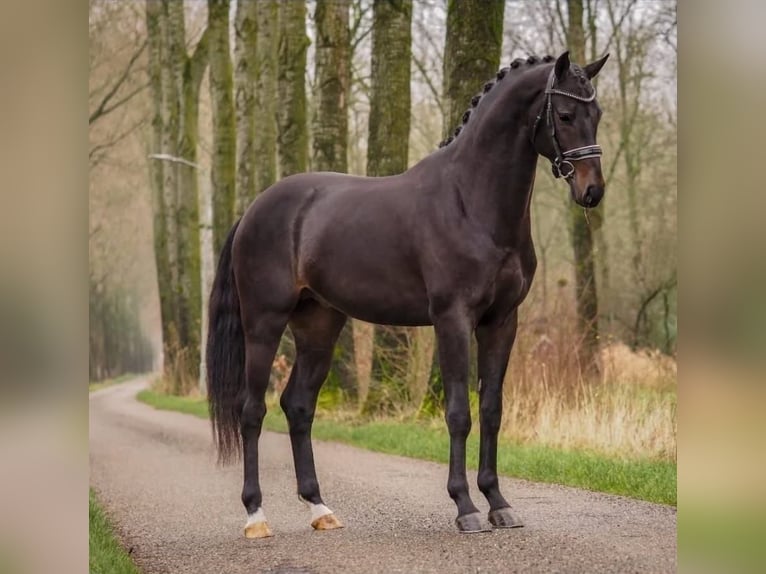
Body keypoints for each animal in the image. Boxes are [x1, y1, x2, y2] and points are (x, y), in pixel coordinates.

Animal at [207, 50, 608, 540]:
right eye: (565, 115)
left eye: (597, 114)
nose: (592, 190)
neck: (470, 201)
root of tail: (253, 210)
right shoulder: (452, 319)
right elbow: (458, 412)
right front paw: (465, 507)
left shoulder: (501, 321)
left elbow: (491, 409)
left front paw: (498, 503)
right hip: (264, 324)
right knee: (251, 411)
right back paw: (256, 516)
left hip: (319, 326)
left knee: (298, 406)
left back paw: (320, 509)